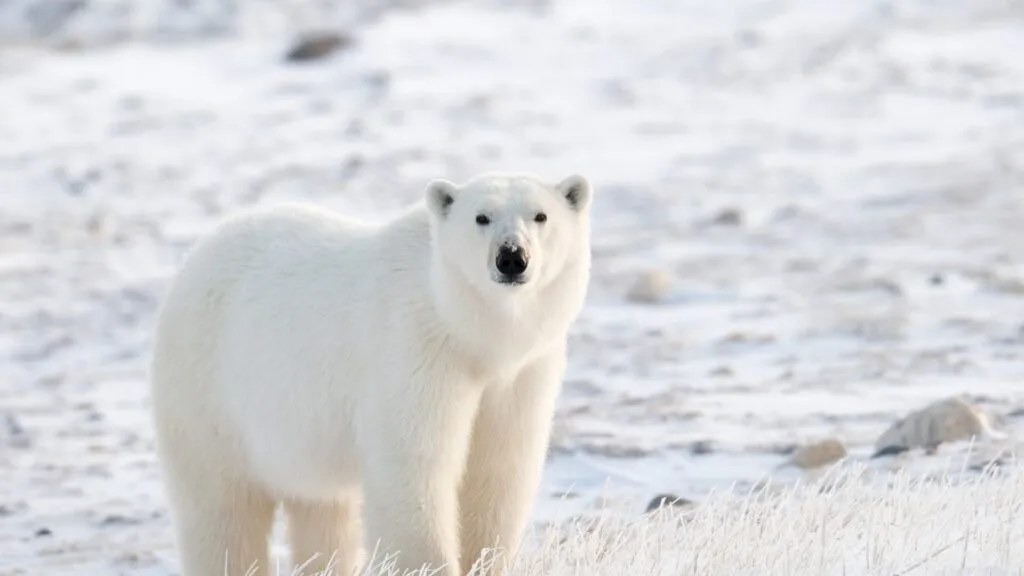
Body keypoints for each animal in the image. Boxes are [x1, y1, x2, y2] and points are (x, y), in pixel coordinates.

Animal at [145, 171, 593, 573]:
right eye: (481, 217)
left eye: (540, 216)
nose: (512, 257)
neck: (470, 334)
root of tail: (196, 255)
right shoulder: (415, 352)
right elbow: (413, 466)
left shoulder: (522, 373)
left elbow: (498, 470)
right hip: (210, 396)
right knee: (222, 510)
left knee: (323, 514)